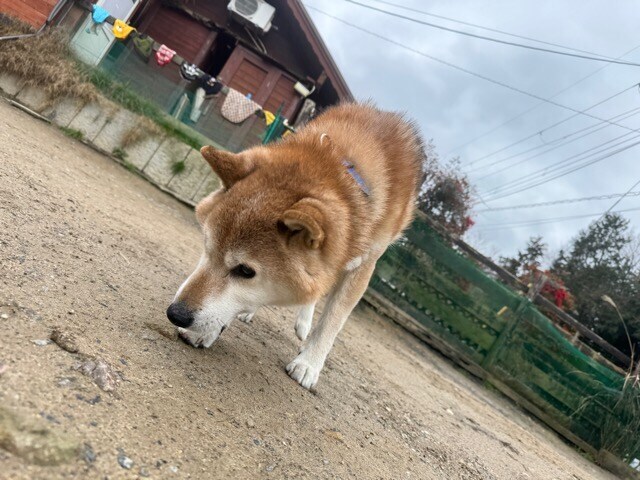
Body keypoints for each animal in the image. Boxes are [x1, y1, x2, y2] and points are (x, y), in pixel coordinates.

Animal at [168, 103, 422, 388]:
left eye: (245, 271)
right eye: (207, 247)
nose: (175, 314)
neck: (344, 170)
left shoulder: (363, 267)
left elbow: (332, 321)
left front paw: (309, 363)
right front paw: (207, 331)